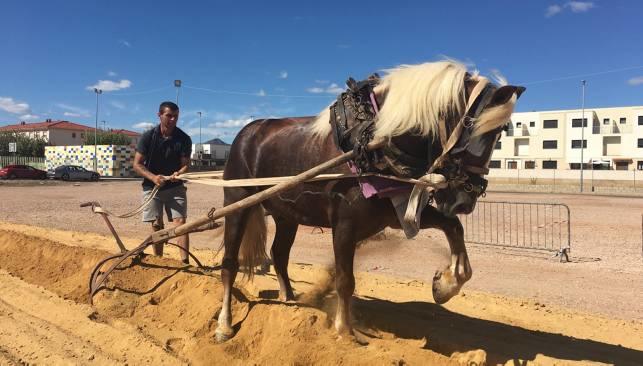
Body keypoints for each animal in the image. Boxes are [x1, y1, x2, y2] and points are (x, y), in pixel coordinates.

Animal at [214, 58, 524, 342]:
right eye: (472, 124)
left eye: (500, 133)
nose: (465, 200)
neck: (371, 142)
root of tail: (247, 132)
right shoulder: (344, 225)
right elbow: (344, 280)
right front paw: (344, 330)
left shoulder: (395, 213)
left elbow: (453, 227)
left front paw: (446, 284)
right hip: (237, 203)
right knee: (229, 264)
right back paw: (224, 325)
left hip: (286, 215)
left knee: (279, 255)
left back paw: (290, 300)